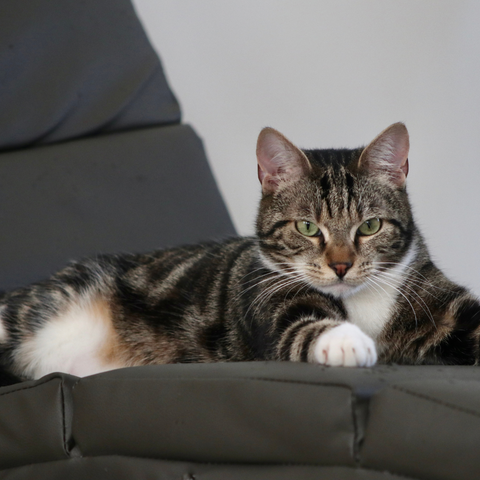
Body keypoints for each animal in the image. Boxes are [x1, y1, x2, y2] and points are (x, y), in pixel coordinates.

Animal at [0, 122, 480, 380]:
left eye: (370, 226)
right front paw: (347, 340)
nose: (342, 265)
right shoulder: (268, 303)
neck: (361, 304)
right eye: (308, 228)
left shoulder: (438, 301)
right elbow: (302, 326)